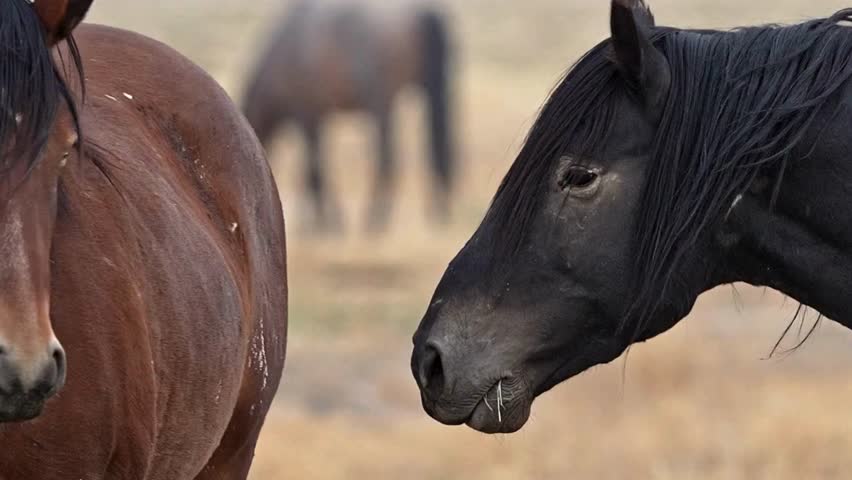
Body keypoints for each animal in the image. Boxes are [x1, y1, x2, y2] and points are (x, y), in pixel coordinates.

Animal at [242, 0, 455, 233]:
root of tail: (421, 12)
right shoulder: (318, 118)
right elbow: (318, 165)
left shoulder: (307, 116)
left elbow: (314, 167)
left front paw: (326, 222)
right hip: (426, 94)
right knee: (433, 151)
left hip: (381, 104)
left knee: (386, 158)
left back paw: (375, 217)